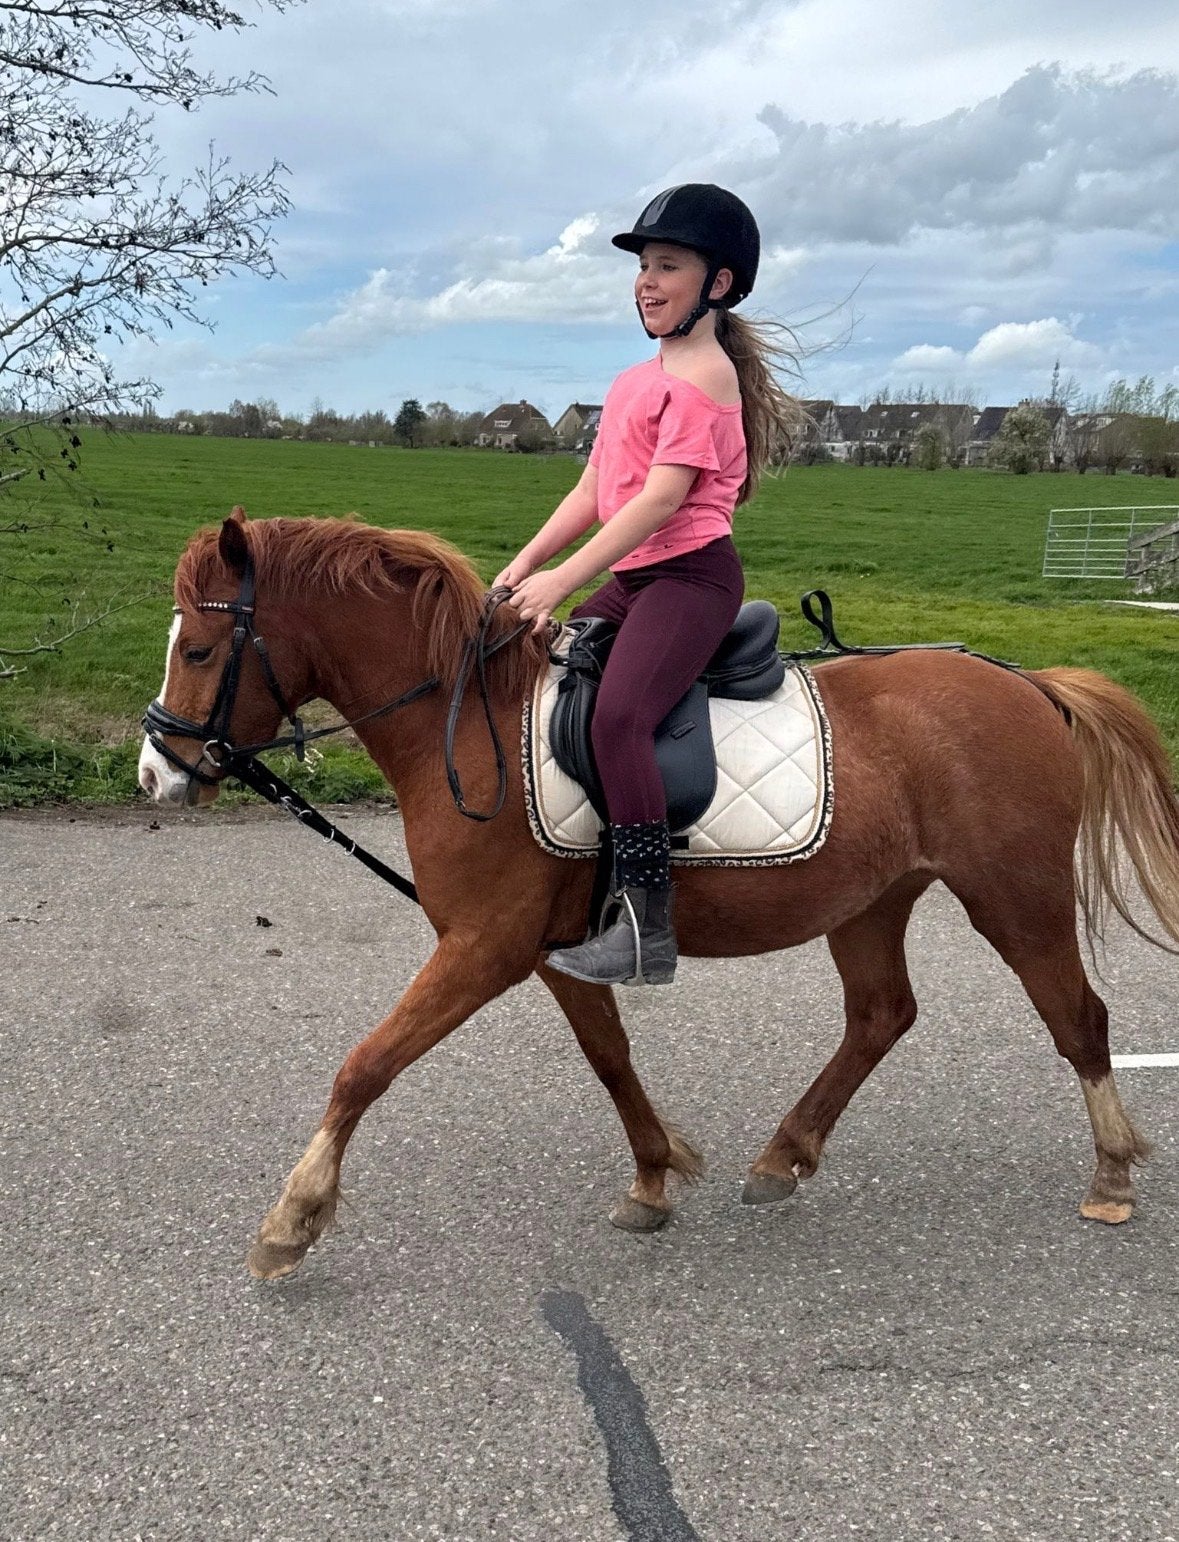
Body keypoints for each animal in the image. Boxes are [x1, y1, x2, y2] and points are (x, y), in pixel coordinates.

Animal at [138, 509, 1179, 1281]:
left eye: (199, 649)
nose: (157, 774)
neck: (466, 723)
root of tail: (1029, 684)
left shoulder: (483, 947)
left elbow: (364, 1066)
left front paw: (293, 1217)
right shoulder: (551, 951)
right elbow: (610, 1060)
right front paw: (653, 1175)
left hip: (1014, 896)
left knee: (1077, 1019)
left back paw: (1111, 1174)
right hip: (873, 900)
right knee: (882, 1014)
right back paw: (782, 1156)